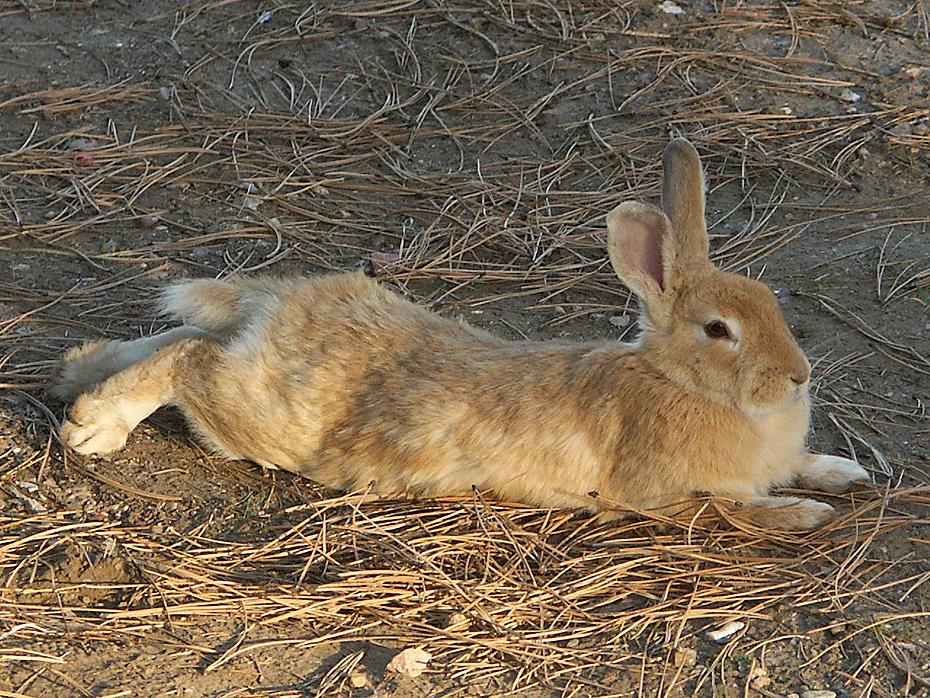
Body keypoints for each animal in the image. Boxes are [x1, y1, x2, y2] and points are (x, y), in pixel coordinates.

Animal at [50, 139, 871, 530]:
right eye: (718, 329)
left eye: (769, 303)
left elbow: (801, 466)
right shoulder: (661, 493)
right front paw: (806, 514)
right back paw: (94, 426)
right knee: (189, 359)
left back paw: (77, 370)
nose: (799, 377)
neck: (679, 380)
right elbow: (730, 509)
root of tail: (277, 304)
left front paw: (844, 473)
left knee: (180, 333)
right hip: (254, 411)